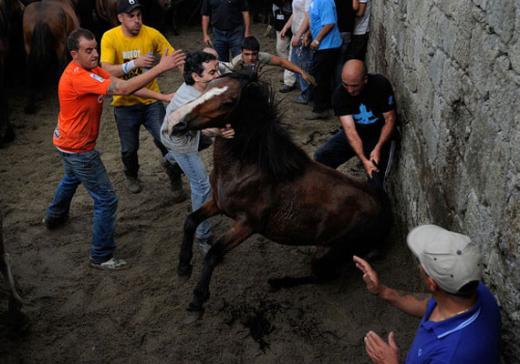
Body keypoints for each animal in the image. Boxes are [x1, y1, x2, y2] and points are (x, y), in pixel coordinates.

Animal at [167, 72, 390, 318]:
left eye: (228, 102)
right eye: (209, 85)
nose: (175, 121)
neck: (250, 167)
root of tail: (385, 218)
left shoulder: (247, 225)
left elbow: (214, 253)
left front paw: (197, 300)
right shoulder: (217, 203)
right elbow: (190, 221)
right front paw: (183, 267)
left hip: (327, 254)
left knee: (325, 277)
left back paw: (278, 282)